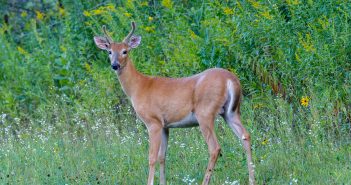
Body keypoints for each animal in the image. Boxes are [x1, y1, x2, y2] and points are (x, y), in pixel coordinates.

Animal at [93, 22, 256, 185]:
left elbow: (152, 157)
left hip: (205, 112)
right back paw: (252, 179)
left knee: (215, 148)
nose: (115, 65)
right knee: (245, 136)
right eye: (109, 51)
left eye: (125, 51)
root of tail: (231, 79)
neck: (138, 87)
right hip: (231, 112)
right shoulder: (165, 125)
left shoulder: (153, 122)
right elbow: (162, 157)